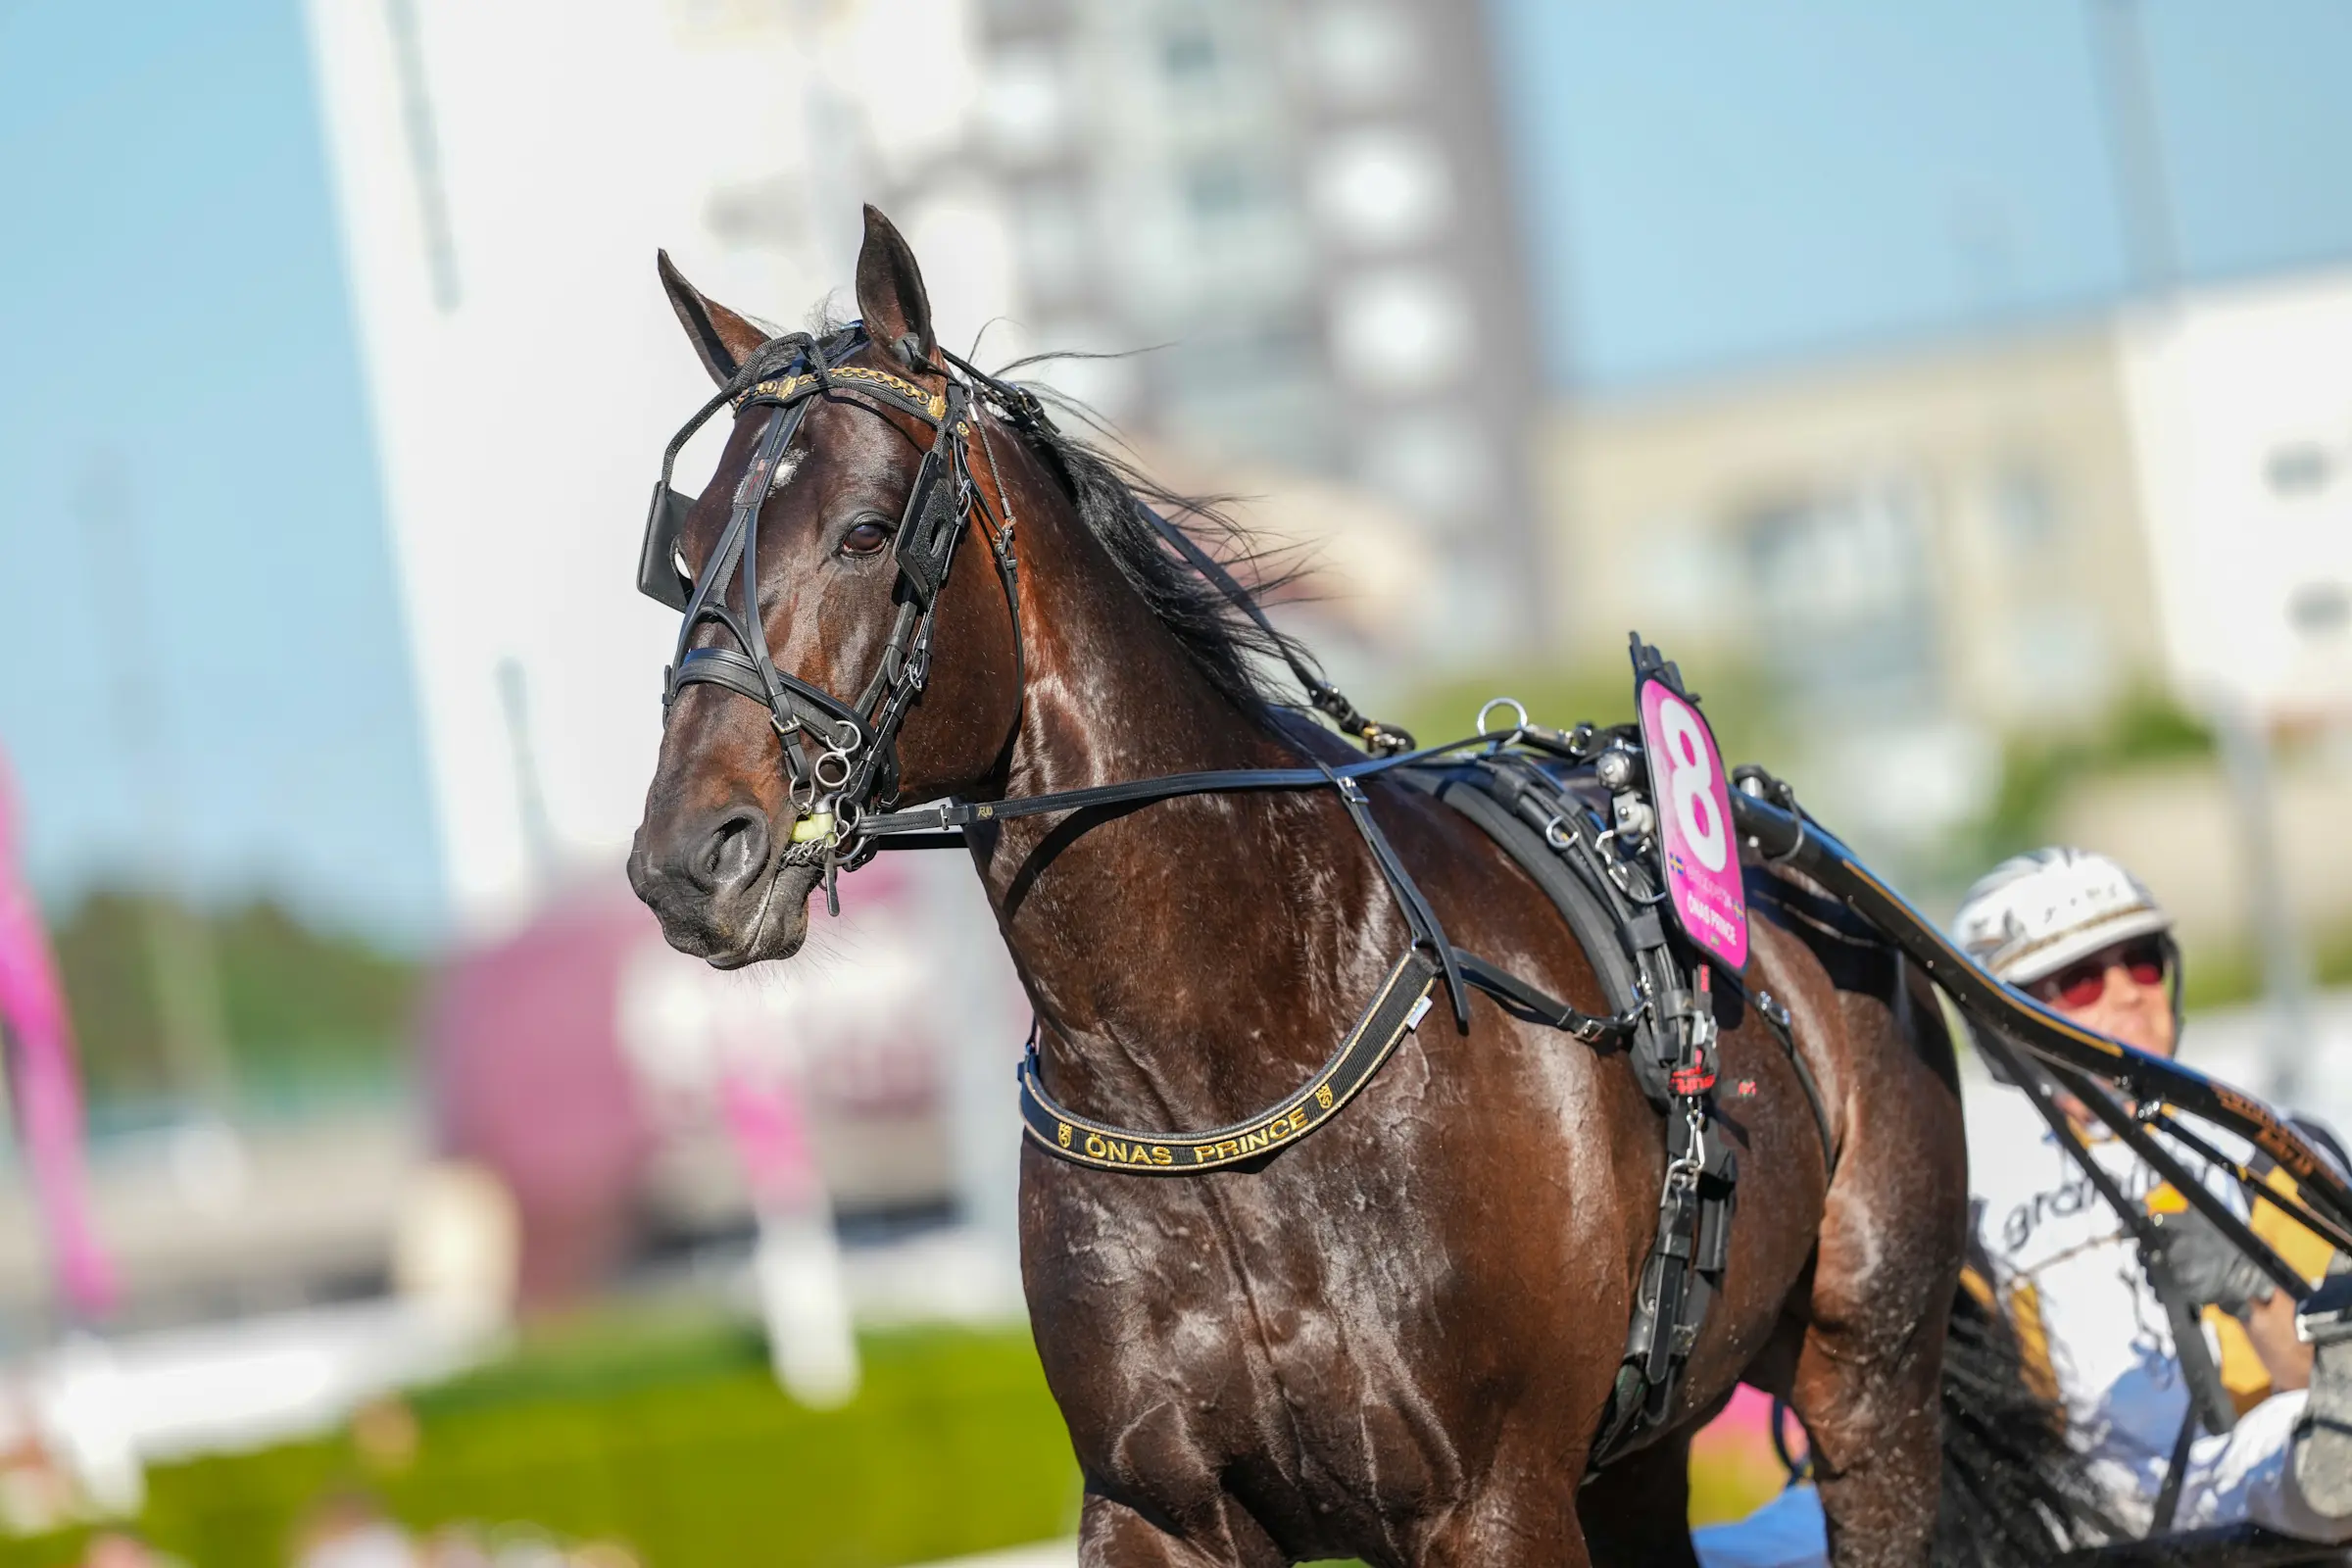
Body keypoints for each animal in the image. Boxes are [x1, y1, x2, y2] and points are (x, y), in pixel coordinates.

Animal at [635, 205, 1976, 1560]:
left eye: (865, 531)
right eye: (681, 556)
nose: (688, 859)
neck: (1214, 1071)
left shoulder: (1496, 1499)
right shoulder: (1155, 1503)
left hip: (1870, 1387)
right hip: (1636, 1459)